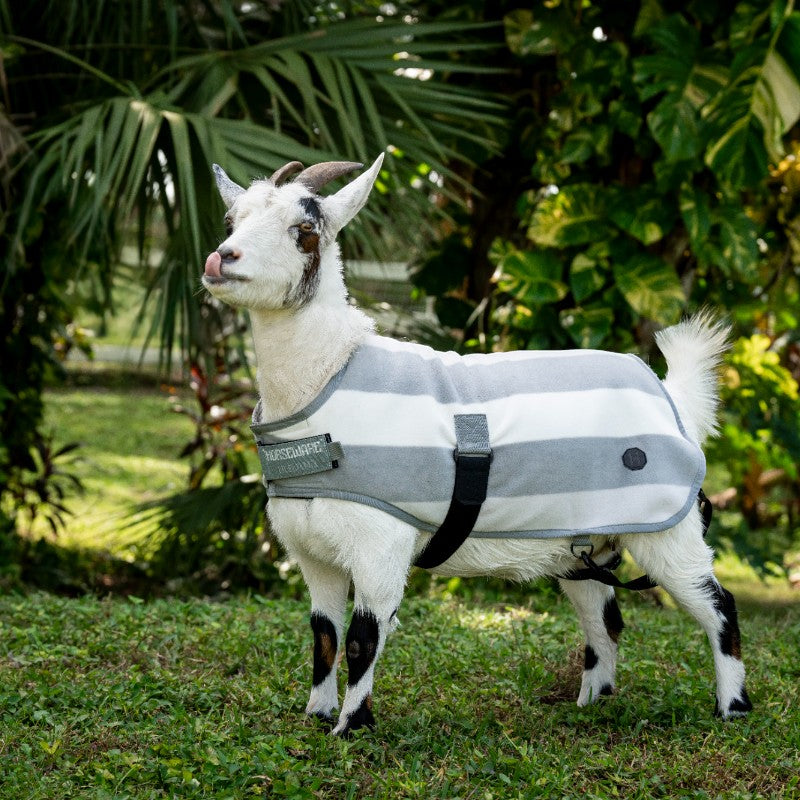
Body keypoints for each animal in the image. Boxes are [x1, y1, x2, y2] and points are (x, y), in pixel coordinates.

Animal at [202, 154, 751, 736]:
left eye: (305, 231)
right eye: (231, 220)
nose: (221, 257)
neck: (329, 377)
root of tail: (674, 398)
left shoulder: (381, 543)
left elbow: (361, 639)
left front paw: (352, 728)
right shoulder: (312, 554)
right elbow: (322, 636)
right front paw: (317, 714)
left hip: (667, 529)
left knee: (719, 605)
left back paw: (732, 707)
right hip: (582, 545)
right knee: (605, 615)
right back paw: (592, 702)